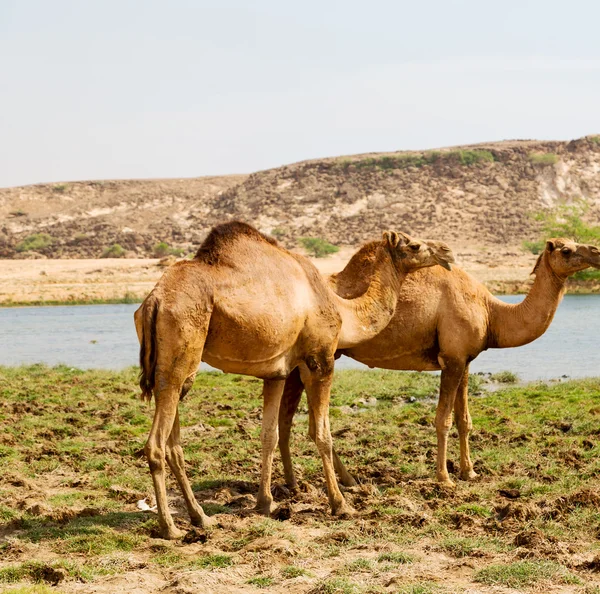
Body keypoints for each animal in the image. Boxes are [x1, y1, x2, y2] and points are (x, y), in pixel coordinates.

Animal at [134, 220, 452, 536]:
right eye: (414, 245)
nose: (446, 251)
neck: (342, 310)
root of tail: (153, 301)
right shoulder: (319, 360)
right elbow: (322, 434)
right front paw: (341, 504)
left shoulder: (276, 372)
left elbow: (269, 435)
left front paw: (265, 503)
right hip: (181, 345)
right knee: (156, 445)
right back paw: (170, 528)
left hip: (177, 368)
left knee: (174, 442)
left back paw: (201, 518)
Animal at [278, 236, 600, 486]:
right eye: (566, 250)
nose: (596, 251)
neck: (492, 312)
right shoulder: (452, 358)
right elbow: (442, 419)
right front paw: (444, 478)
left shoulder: (466, 360)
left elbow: (464, 419)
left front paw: (469, 472)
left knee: (293, 419)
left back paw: (318, 482)